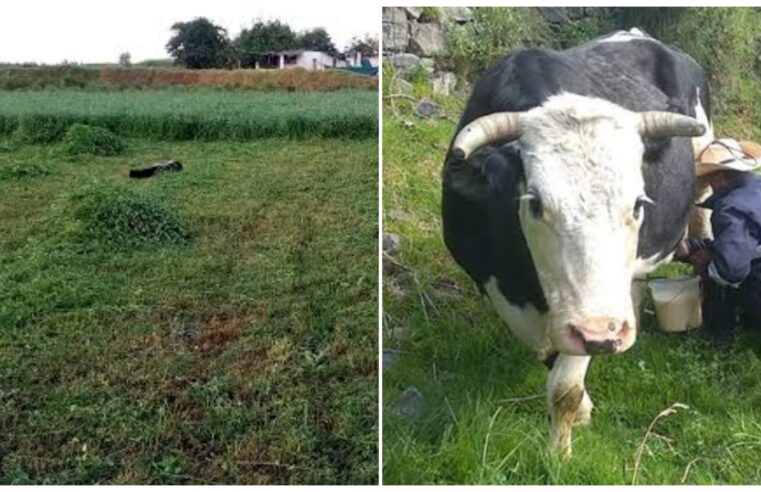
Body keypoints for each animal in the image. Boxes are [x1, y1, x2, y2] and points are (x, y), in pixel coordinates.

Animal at [440, 28, 712, 456]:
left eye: (638, 203)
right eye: (535, 203)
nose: (605, 333)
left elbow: (564, 387)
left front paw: (560, 451)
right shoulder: (497, 287)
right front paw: (582, 408)